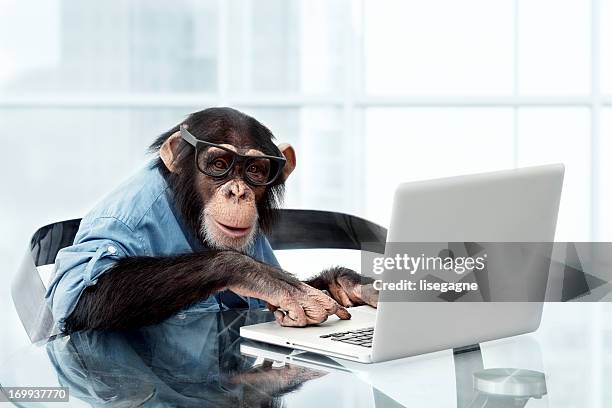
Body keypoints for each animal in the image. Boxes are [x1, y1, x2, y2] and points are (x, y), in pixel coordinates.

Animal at [45, 107, 376, 334]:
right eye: (219, 164)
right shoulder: (125, 217)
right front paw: (265, 278)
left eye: (255, 170)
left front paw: (348, 284)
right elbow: (82, 293)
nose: (238, 191)